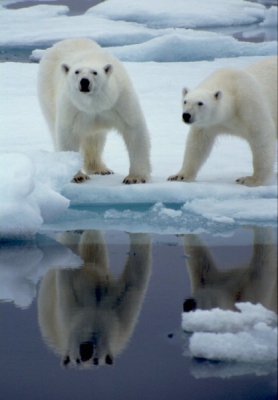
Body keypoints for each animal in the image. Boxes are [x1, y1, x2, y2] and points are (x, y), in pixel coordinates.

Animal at [37, 38, 151, 184]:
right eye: (77, 72)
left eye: (95, 72)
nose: (84, 82)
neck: (94, 104)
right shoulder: (72, 107)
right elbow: (67, 134)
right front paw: (77, 176)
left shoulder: (119, 100)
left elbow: (134, 129)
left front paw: (135, 177)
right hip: (47, 93)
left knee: (95, 138)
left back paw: (101, 169)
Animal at [37, 230, 152, 368]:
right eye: (77, 360)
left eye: (96, 361)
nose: (86, 352)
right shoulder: (69, 306)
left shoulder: (119, 316)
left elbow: (134, 281)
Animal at [168, 57, 276, 187]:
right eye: (185, 101)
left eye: (200, 103)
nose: (186, 115)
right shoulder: (209, 123)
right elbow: (198, 143)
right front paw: (179, 176)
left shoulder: (250, 106)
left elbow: (261, 138)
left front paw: (250, 180)